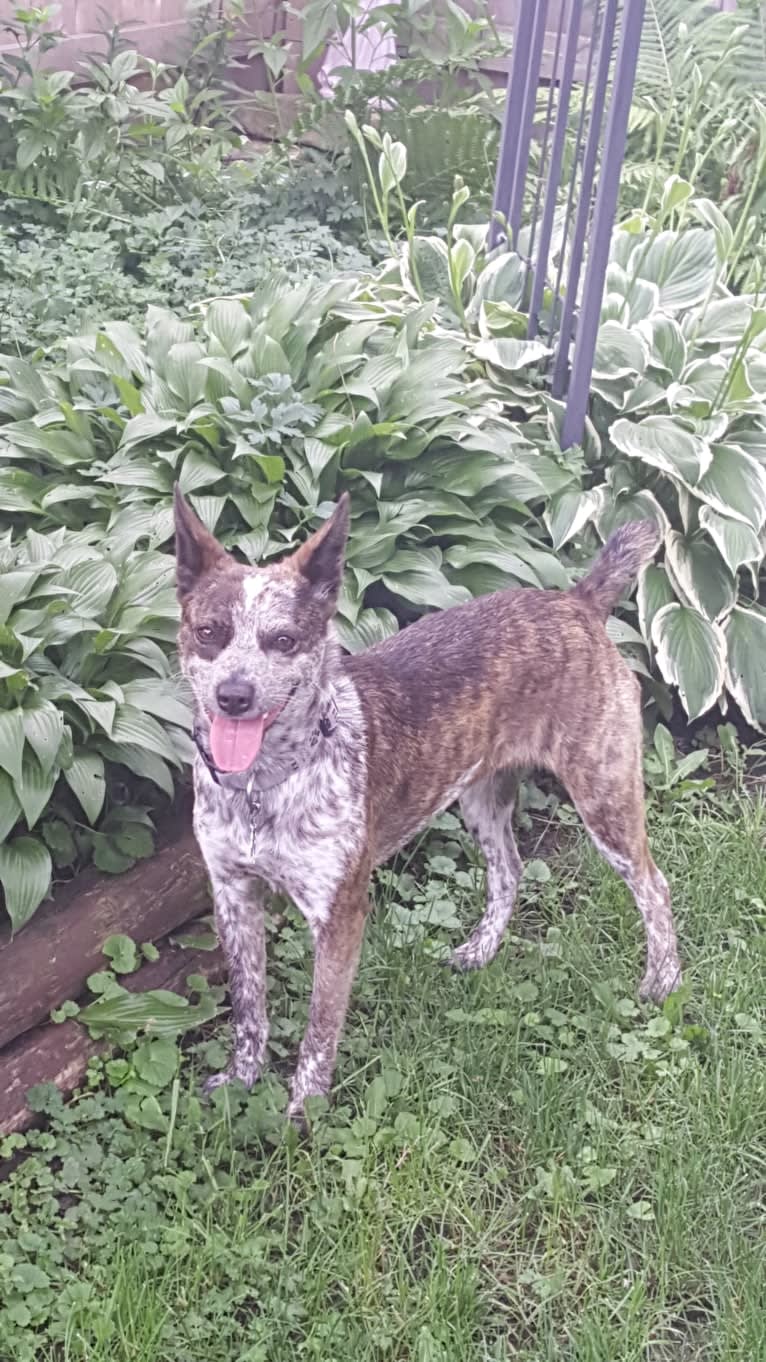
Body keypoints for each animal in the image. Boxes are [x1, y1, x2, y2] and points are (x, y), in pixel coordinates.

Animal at [174, 487, 678, 1116]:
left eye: (283, 640)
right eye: (209, 632)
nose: (234, 696)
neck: (263, 789)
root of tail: (578, 602)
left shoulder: (339, 916)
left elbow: (319, 1031)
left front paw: (303, 1116)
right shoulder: (234, 896)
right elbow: (248, 1008)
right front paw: (240, 1082)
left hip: (603, 797)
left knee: (654, 885)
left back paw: (661, 984)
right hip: (481, 799)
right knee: (509, 870)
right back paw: (479, 952)